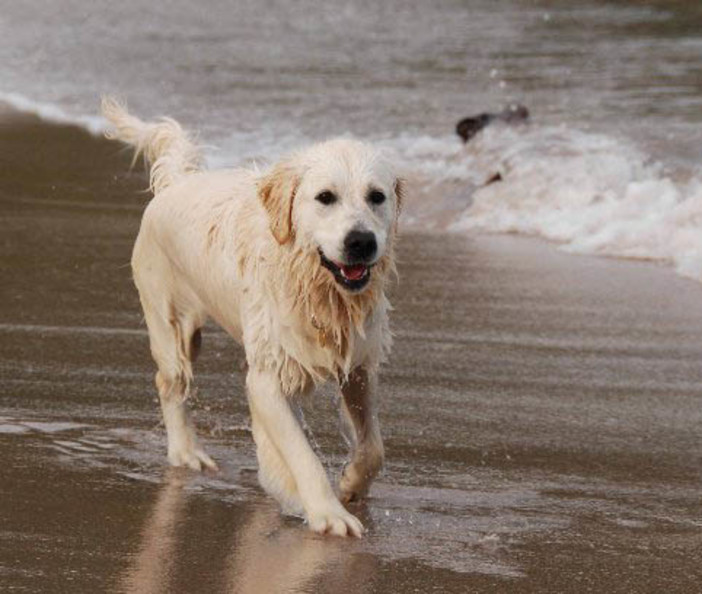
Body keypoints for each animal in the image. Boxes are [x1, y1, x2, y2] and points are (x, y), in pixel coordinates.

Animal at [102, 95, 404, 536]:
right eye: (325, 197)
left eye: (377, 196)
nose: (361, 241)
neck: (318, 289)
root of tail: (176, 182)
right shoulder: (267, 376)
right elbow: (301, 454)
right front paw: (326, 512)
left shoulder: (359, 364)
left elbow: (373, 447)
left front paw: (350, 483)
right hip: (170, 319)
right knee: (170, 383)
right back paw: (187, 452)